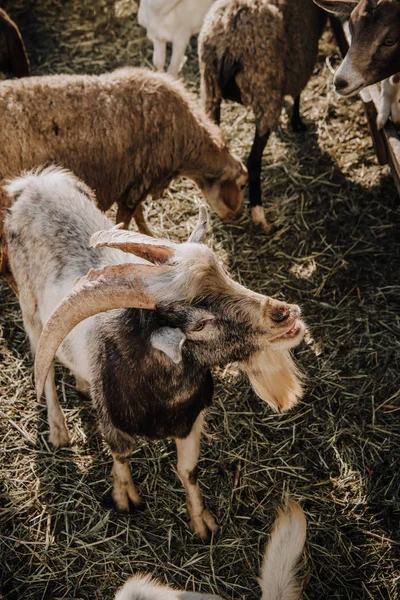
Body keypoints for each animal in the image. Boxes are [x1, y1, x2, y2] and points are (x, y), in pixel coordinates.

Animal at [0, 65, 247, 234]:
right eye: (243, 185)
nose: (236, 217)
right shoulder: (138, 182)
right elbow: (126, 221)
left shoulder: (133, 183)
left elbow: (139, 216)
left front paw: (150, 236)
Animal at [4, 168, 304, 540]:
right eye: (200, 323)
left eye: (226, 273)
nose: (284, 314)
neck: (163, 397)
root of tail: (32, 184)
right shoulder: (113, 423)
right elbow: (121, 456)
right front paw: (125, 498)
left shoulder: (191, 421)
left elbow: (187, 470)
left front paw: (201, 524)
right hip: (30, 312)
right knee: (42, 369)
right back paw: (58, 430)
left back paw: (82, 385)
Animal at [198, 0, 326, 232]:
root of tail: (229, 41)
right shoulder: (301, 63)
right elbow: (297, 95)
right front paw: (297, 122)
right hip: (265, 92)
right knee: (253, 161)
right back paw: (259, 215)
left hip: (209, 88)